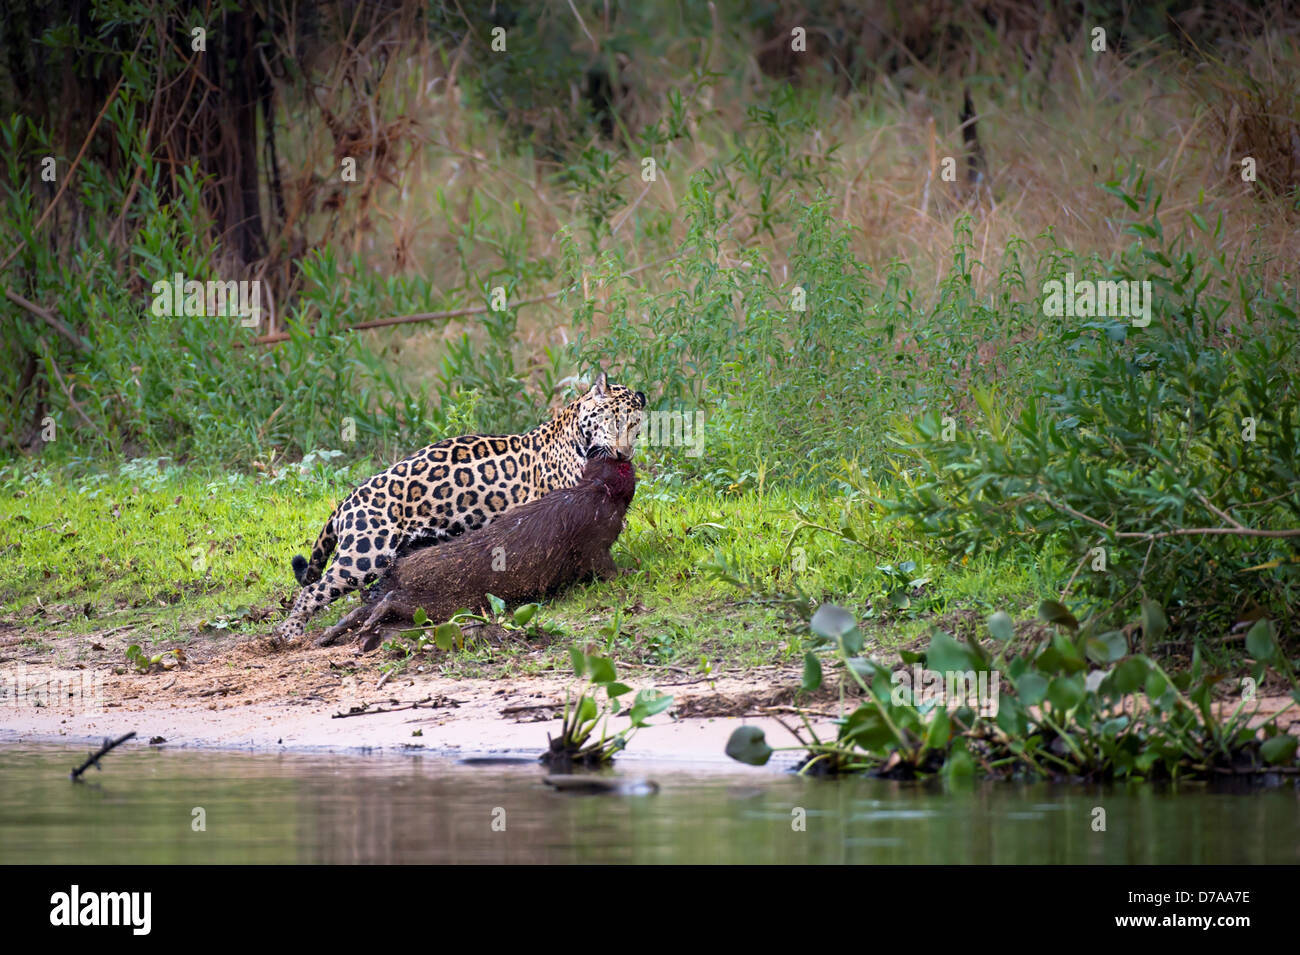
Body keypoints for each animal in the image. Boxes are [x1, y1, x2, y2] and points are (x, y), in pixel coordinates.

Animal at [272, 373, 645, 641]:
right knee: (312, 590)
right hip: (364, 554)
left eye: (636, 426)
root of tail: (347, 500)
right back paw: (287, 634)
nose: (624, 453)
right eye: (615, 422)